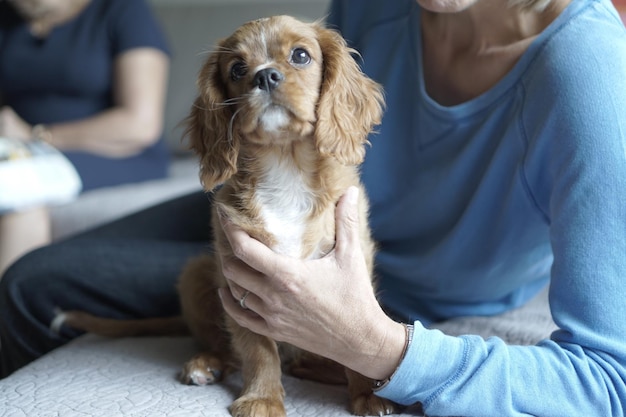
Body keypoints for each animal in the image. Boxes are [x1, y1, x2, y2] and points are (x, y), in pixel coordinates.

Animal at [64, 16, 394, 416]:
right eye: (237, 69)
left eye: (301, 55)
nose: (265, 76)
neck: (286, 167)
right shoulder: (240, 279)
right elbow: (257, 349)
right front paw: (262, 398)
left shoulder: (353, 263)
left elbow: (353, 336)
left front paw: (367, 395)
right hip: (195, 274)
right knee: (227, 349)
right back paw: (206, 363)